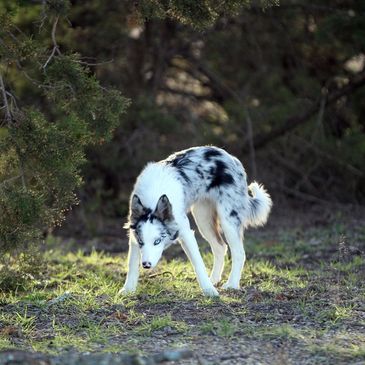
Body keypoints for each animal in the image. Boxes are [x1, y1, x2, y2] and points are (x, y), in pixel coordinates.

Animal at [121, 146, 272, 296]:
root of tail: (229, 156)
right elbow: (131, 264)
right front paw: (128, 290)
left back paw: (232, 284)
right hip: (203, 220)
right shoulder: (133, 237)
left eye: (157, 241)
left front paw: (209, 291)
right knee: (220, 247)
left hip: (228, 221)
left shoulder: (186, 234)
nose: (146, 265)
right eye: (141, 242)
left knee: (239, 253)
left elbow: (198, 263)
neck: (153, 199)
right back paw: (214, 280)